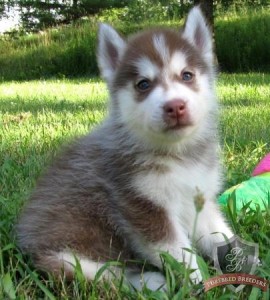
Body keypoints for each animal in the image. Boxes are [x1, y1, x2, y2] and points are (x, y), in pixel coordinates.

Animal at [16, 6, 232, 290]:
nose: (175, 106)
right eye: (143, 84)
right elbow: (179, 254)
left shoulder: (200, 200)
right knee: (112, 276)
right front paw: (198, 283)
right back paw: (153, 282)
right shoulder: (142, 206)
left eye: (187, 75)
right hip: (66, 259)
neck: (178, 155)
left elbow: (222, 237)